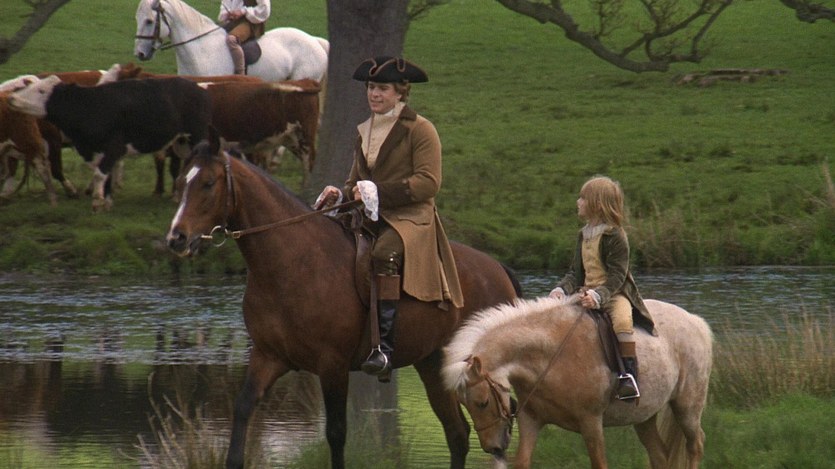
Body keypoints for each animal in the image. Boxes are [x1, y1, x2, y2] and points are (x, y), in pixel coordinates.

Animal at [8, 75, 212, 210]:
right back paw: (178, 196)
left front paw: (97, 201)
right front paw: (106, 202)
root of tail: (199, 88)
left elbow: (100, 174)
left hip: (197, 135)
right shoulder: (96, 151)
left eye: (41, 91)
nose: (11, 97)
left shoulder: (114, 148)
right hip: (181, 142)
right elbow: (105, 175)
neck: (91, 106)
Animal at [165, 132, 522, 469]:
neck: (293, 262)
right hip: (432, 364)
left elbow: (336, 433)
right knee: (457, 434)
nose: (176, 238)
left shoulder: (332, 366)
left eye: (208, 183)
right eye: (181, 183)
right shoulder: (268, 358)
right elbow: (241, 411)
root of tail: (498, 269)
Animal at [442, 295, 713, 469]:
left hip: (687, 407)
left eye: (482, 402)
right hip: (644, 417)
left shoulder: (591, 423)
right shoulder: (531, 421)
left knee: (696, 444)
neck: (551, 355)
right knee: (659, 455)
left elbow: (599, 464)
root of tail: (695, 321)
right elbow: (522, 462)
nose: (493, 448)